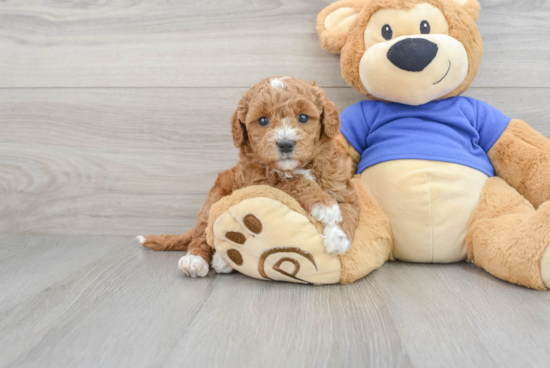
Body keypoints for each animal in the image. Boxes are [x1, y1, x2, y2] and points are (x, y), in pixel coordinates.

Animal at [139, 78, 362, 278]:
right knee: (202, 235)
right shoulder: (258, 181)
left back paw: (222, 261)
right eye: (263, 120)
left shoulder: (341, 183)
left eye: (303, 118)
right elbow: (290, 182)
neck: (297, 167)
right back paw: (195, 261)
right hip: (213, 200)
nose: (285, 144)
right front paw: (325, 205)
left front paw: (339, 238)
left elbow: (349, 208)